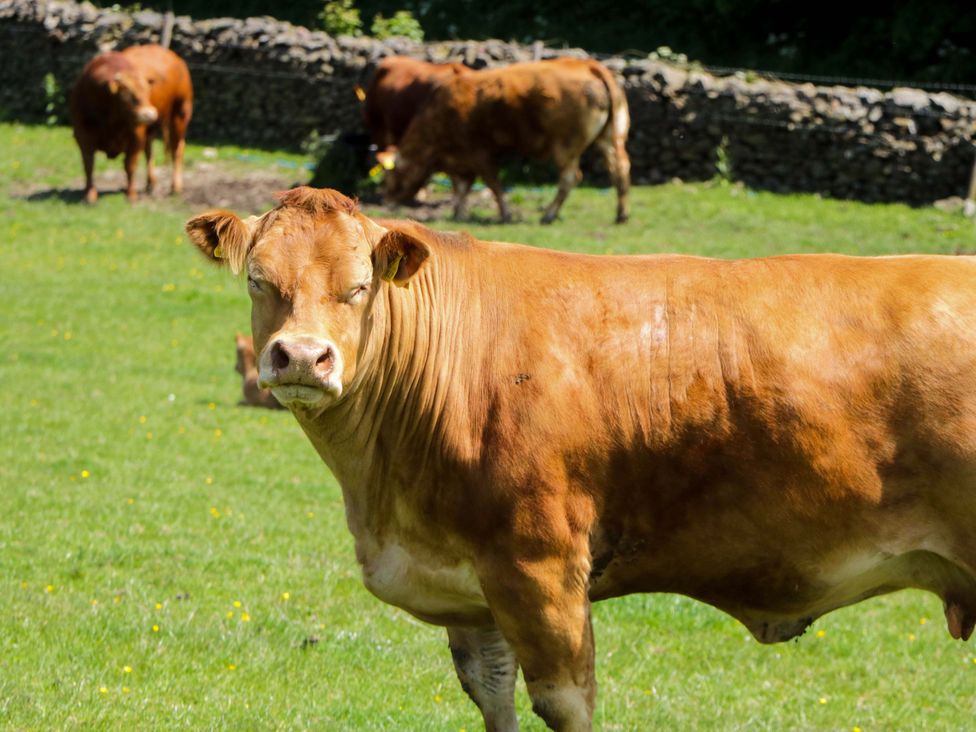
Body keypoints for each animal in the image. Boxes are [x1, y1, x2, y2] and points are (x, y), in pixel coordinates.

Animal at [71, 44, 193, 203]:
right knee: (149, 151)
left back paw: (175, 186)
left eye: (147, 91)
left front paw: (131, 194)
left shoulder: (136, 135)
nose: (149, 113)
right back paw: (151, 182)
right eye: (127, 95)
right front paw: (90, 194)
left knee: (176, 149)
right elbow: (88, 165)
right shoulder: (82, 134)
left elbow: (130, 164)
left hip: (180, 113)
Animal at [187, 186, 976, 731]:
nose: (301, 356)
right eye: (259, 279)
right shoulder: (469, 589)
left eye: (358, 286)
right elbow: (493, 697)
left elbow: (565, 704)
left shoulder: (541, 570)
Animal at [381, 58, 631, 224]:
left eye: (391, 176)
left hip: (565, 146)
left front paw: (505, 213)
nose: (387, 202)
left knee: (570, 178)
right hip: (609, 138)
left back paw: (549, 214)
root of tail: (587, 64)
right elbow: (461, 187)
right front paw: (458, 212)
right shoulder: (459, 159)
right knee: (620, 169)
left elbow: (492, 183)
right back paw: (621, 214)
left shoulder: (478, 153)